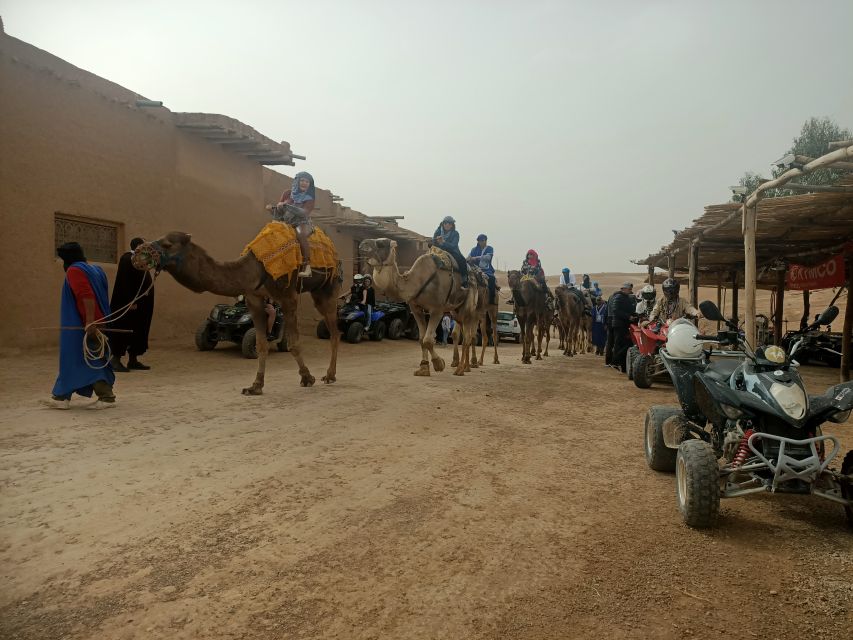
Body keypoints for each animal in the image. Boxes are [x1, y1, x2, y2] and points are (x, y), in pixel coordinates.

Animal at [133, 232, 340, 392]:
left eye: (167, 244)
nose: (138, 253)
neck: (253, 269)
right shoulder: (254, 299)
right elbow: (261, 344)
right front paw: (255, 386)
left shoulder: (288, 296)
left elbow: (294, 344)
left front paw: (307, 378)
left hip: (328, 287)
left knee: (334, 332)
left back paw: (330, 375)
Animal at [358, 238, 480, 372]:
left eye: (381, 244)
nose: (362, 244)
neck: (418, 281)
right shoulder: (415, 308)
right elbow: (421, 339)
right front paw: (424, 367)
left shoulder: (437, 310)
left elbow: (428, 340)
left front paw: (439, 364)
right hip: (455, 309)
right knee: (460, 330)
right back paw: (459, 364)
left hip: (469, 305)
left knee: (469, 335)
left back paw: (463, 369)